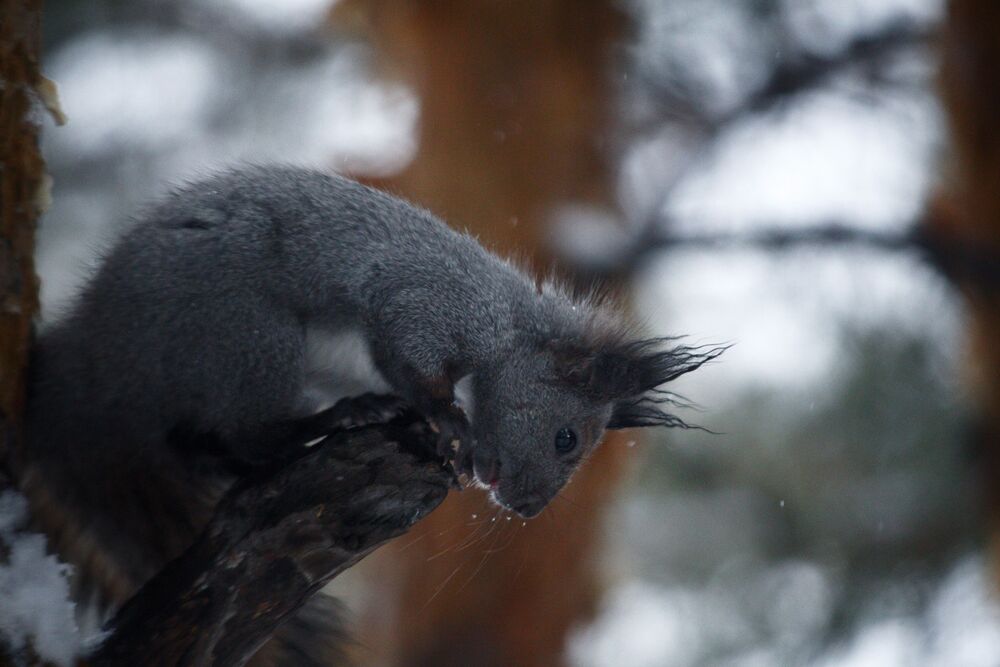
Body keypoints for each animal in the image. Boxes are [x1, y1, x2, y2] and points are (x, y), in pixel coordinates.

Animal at [17, 165, 721, 663]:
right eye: (566, 438)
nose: (527, 507)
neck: (509, 329)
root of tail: (92, 365)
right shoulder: (429, 305)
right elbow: (409, 356)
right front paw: (446, 421)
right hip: (246, 333)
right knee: (247, 431)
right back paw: (338, 419)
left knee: (210, 443)